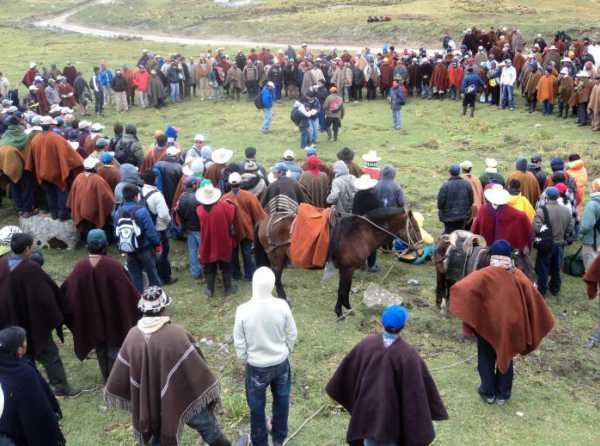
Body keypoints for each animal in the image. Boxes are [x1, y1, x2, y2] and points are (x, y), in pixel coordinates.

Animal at [255, 209, 424, 318]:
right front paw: (341, 312)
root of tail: (265, 220)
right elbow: (342, 290)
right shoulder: (347, 269)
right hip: (276, 257)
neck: (360, 234)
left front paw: (346, 308)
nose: (421, 250)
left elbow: (344, 289)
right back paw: (285, 301)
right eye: (415, 228)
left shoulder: (348, 269)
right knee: (277, 279)